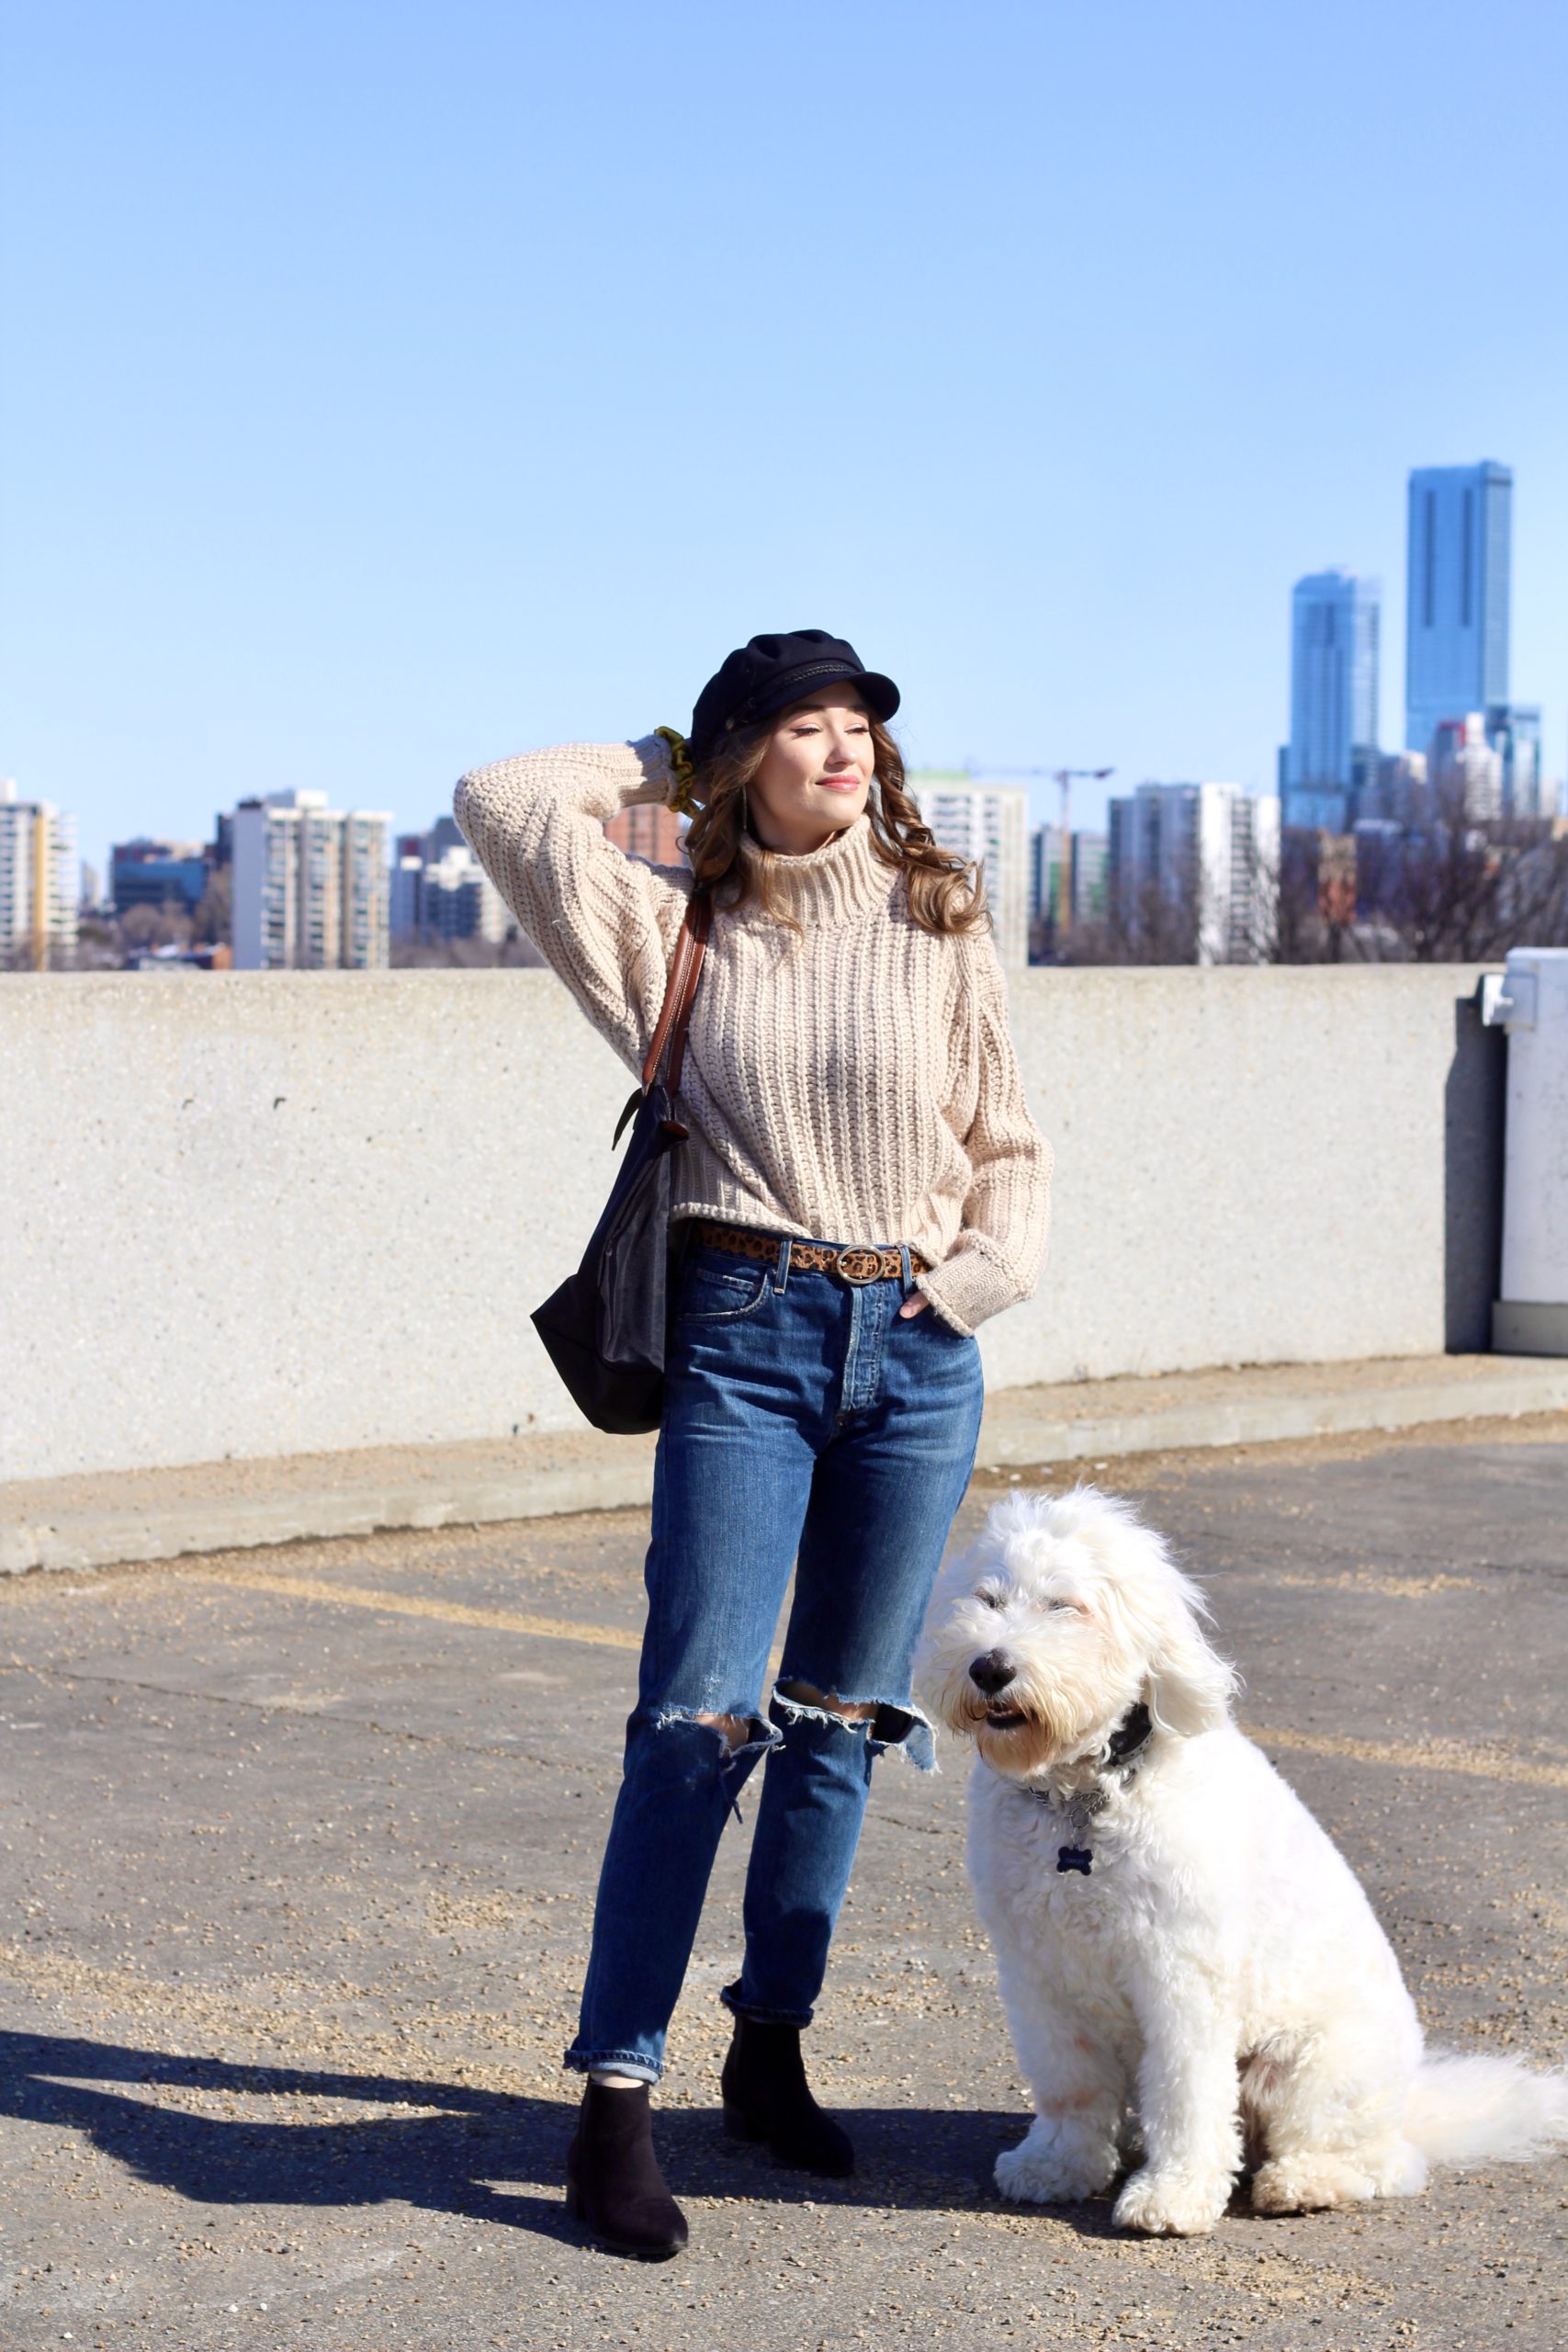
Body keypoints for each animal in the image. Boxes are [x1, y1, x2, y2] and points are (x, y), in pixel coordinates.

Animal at [911, 1486, 1561, 2239]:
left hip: (1313, 2069)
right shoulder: (1038, 1973)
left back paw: (1304, 2182)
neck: (1085, 1798)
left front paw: (1173, 2195)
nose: (990, 1667)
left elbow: (1185, 2094)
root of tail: (1408, 2104)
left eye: (1065, 1606)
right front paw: (1058, 2165)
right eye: (988, 1598)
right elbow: (1070, 2085)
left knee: (1380, 2163)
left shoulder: (1179, 1976)